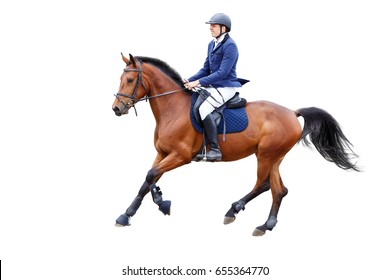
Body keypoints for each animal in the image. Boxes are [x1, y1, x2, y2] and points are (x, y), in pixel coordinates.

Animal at [110, 53, 360, 236]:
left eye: (130, 80)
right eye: (121, 79)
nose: (116, 109)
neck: (173, 109)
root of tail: (292, 112)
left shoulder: (181, 156)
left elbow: (151, 175)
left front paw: (152, 205)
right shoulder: (163, 153)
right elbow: (148, 178)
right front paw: (136, 210)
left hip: (266, 155)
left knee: (263, 185)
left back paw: (234, 210)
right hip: (274, 157)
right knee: (279, 190)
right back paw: (266, 225)